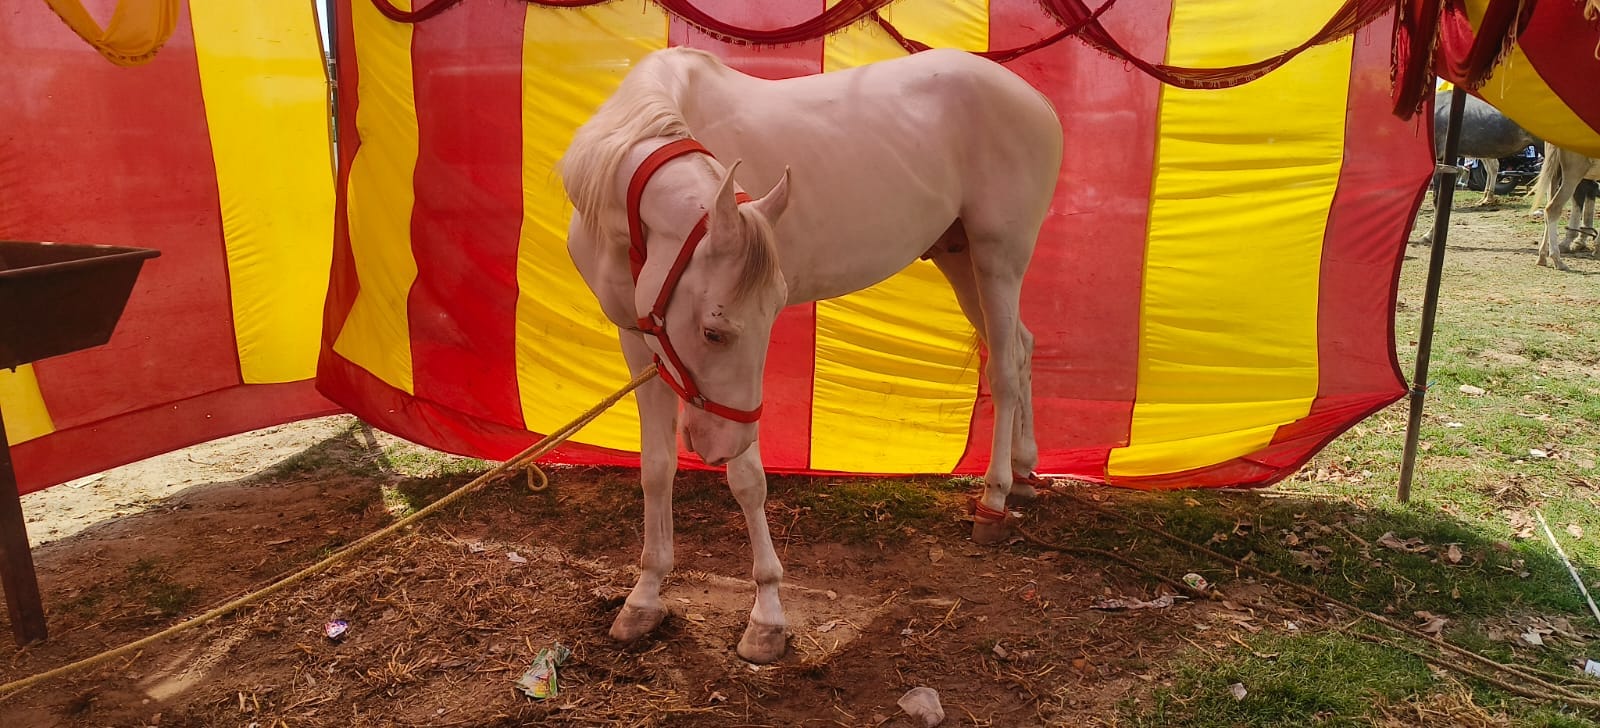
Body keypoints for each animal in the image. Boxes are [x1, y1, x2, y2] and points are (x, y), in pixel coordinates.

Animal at [558, 47, 1062, 663]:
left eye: (752, 323)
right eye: (714, 332)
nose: (718, 447)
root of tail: (1032, 98)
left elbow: (748, 481)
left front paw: (767, 615)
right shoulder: (639, 335)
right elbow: (656, 468)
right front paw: (644, 598)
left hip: (998, 256)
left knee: (1006, 367)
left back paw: (994, 498)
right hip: (959, 255)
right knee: (1022, 347)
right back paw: (1025, 471)